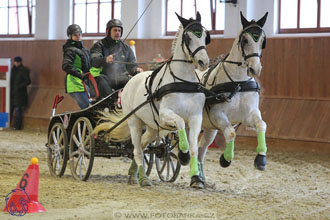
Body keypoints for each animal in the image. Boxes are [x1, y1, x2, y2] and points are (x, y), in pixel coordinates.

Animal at [94, 11, 210, 187]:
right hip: (134, 121)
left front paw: (196, 178)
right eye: (188, 38)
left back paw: (133, 174)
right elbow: (181, 123)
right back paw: (143, 179)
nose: (204, 62)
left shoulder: (196, 117)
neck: (182, 82)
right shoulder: (166, 113)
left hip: (152, 127)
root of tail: (130, 82)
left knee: (142, 146)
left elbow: (194, 148)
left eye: (205, 36)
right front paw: (183, 154)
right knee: (137, 149)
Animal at [196, 11, 268, 182]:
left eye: (263, 40)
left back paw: (199, 178)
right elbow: (230, 132)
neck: (238, 82)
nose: (255, 69)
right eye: (245, 40)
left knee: (201, 149)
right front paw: (225, 159)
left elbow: (262, 125)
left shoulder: (248, 114)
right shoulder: (217, 115)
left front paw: (260, 160)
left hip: (209, 129)